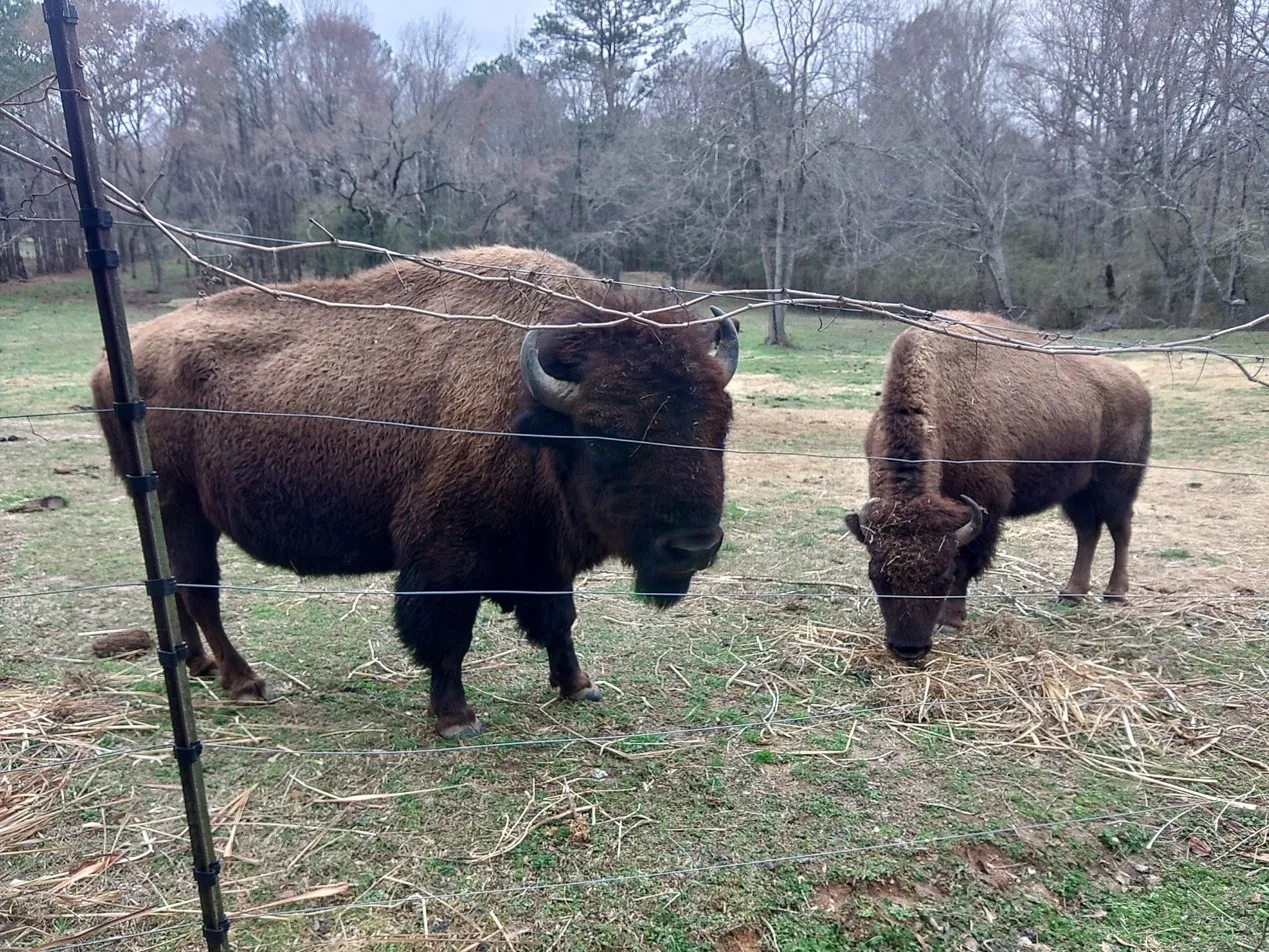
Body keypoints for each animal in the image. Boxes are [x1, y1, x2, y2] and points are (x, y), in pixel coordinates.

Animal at [93, 246, 739, 738]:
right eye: (606, 435)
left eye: (719, 426)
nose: (694, 547)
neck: (532, 414)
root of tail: (113, 362)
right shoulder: (445, 557)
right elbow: (447, 636)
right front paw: (456, 718)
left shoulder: (539, 553)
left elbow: (558, 619)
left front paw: (578, 686)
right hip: (180, 507)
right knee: (201, 591)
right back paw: (244, 682)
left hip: (163, 511)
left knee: (176, 587)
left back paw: (199, 665)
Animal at [844, 311, 1152, 661]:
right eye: (876, 576)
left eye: (942, 576)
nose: (908, 649)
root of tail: (1138, 386)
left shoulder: (983, 506)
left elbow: (966, 562)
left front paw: (950, 621)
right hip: (1077, 491)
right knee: (1088, 531)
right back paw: (1071, 593)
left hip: (1116, 484)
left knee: (1120, 529)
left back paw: (1115, 593)